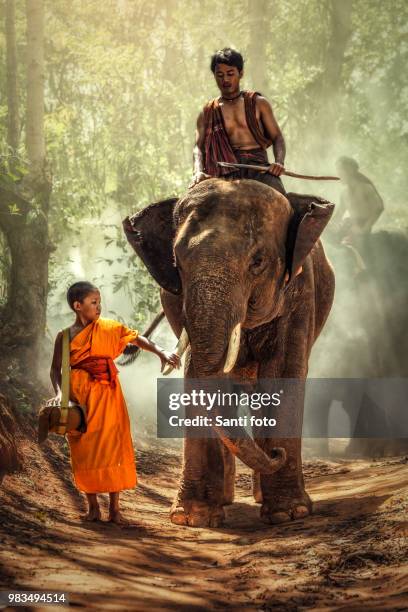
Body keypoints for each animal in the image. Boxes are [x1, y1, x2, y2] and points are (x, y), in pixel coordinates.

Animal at [124, 179, 334, 528]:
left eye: (258, 262)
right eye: (177, 264)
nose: (277, 455)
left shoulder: (301, 292)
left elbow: (283, 374)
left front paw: (290, 514)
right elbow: (197, 374)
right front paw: (192, 518)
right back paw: (226, 498)